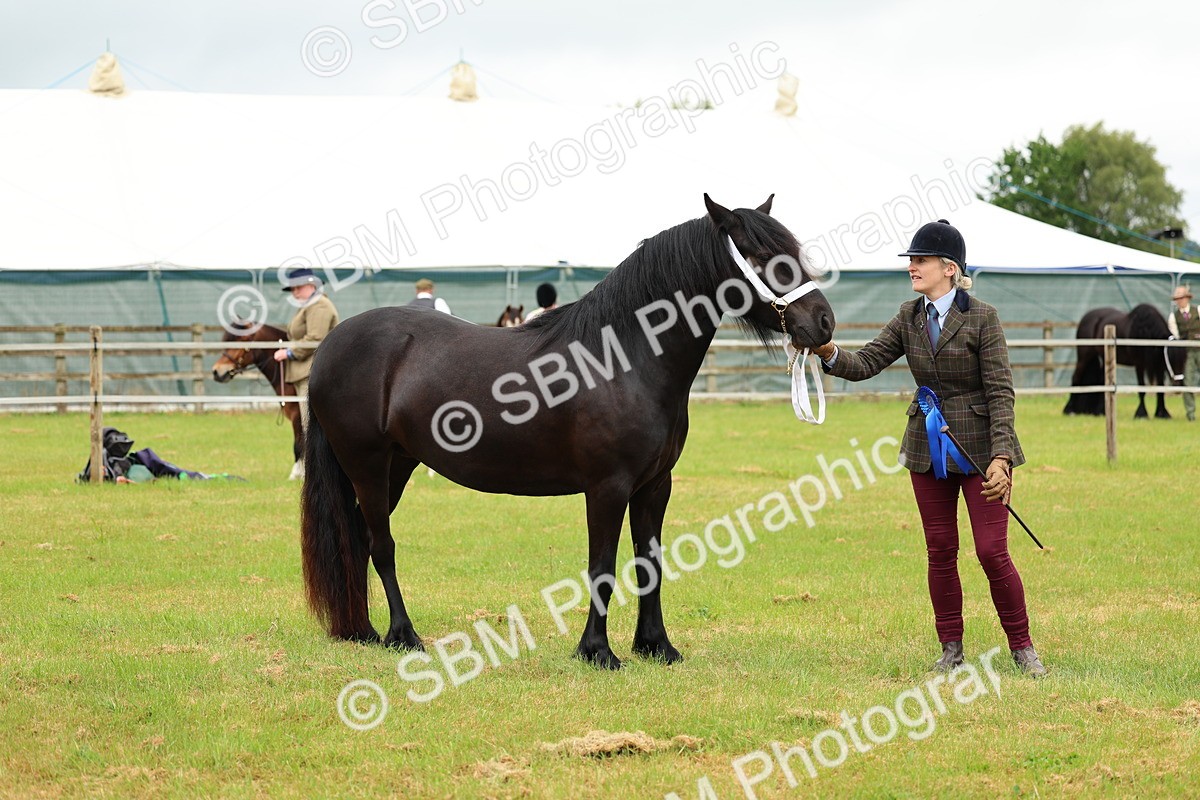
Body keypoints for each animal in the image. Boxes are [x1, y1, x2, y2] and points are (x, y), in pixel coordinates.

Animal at [299, 195, 834, 669]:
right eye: (763, 258)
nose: (824, 322)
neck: (626, 358)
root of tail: (331, 345)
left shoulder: (654, 486)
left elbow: (650, 563)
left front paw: (657, 647)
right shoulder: (607, 488)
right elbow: (603, 568)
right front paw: (598, 652)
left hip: (399, 465)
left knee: (359, 539)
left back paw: (364, 631)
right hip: (367, 465)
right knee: (381, 545)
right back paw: (403, 636)